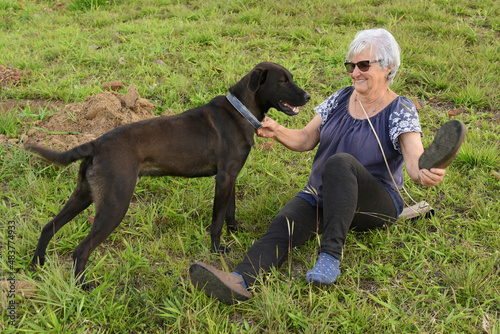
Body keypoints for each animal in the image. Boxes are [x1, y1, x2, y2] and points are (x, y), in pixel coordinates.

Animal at [27, 62, 310, 284]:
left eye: (291, 77)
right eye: (283, 81)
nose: (308, 96)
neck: (240, 111)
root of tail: (96, 143)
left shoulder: (231, 177)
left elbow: (230, 211)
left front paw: (235, 231)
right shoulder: (224, 178)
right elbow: (216, 221)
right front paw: (216, 250)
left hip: (83, 194)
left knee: (48, 227)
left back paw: (37, 265)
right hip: (114, 205)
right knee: (81, 251)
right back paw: (83, 288)